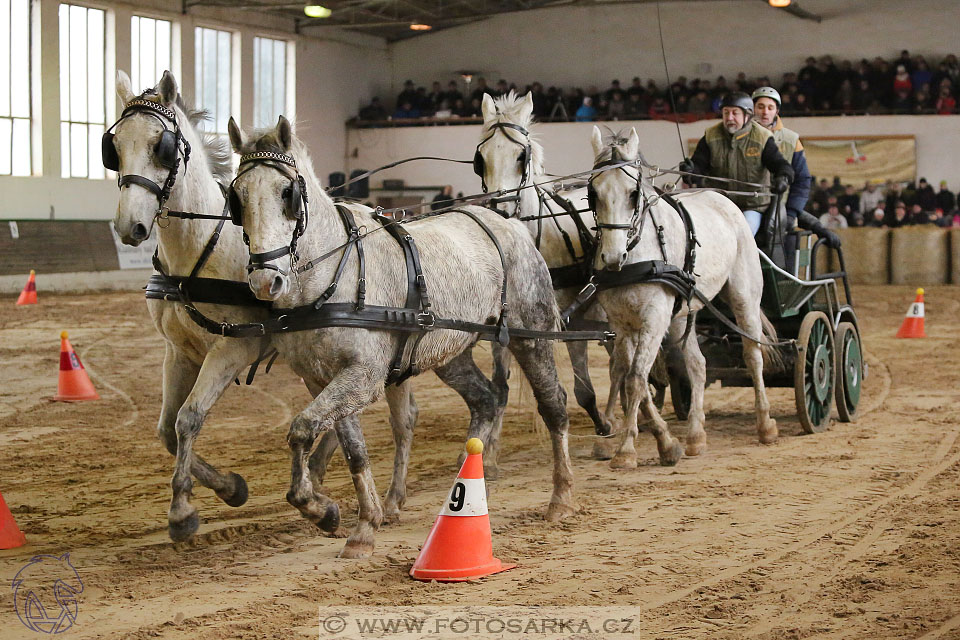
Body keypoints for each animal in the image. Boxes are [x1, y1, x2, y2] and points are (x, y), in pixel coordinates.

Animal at [225, 117, 576, 556]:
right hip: (451, 353)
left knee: (553, 404)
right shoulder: (321, 378)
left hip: (532, 336)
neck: (331, 279)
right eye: (236, 196)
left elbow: (303, 428)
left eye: (287, 192)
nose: (264, 280)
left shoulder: (363, 376)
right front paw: (358, 524)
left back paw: (560, 498)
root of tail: (509, 224)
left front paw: (320, 509)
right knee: (485, 400)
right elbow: (352, 449)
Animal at [584, 125, 780, 468]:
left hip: (743, 297)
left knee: (753, 354)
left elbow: (636, 378)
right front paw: (620, 438)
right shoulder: (621, 323)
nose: (612, 257)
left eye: (633, 193)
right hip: (681, 315)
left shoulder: (653, 318)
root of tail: (723, 198)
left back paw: (765, 425)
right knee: (698, 364)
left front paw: (626, 450)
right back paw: (696, 436)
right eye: (594, 192)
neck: (636, 255)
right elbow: (620, 371)